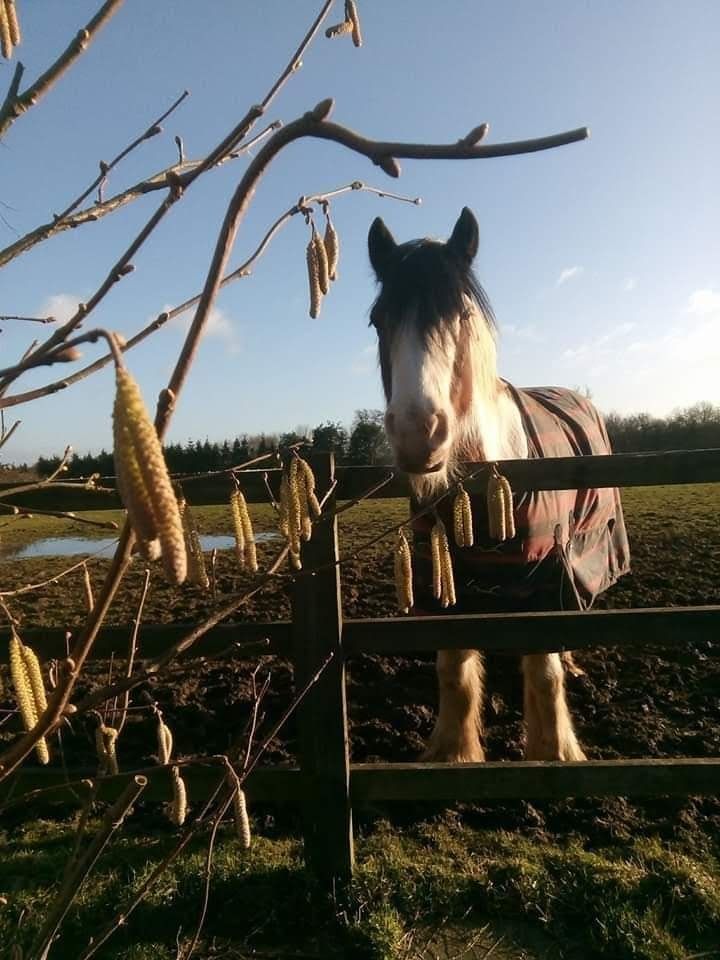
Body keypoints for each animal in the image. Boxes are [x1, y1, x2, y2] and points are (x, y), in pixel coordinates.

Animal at [368, 208, 628, 764]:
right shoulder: (447, 585)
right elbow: (453, 671)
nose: (418, 433)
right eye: (379, 320)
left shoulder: (547, 581)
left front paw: (554, 753)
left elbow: (545, 676)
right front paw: (453, 753)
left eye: (462, 317)